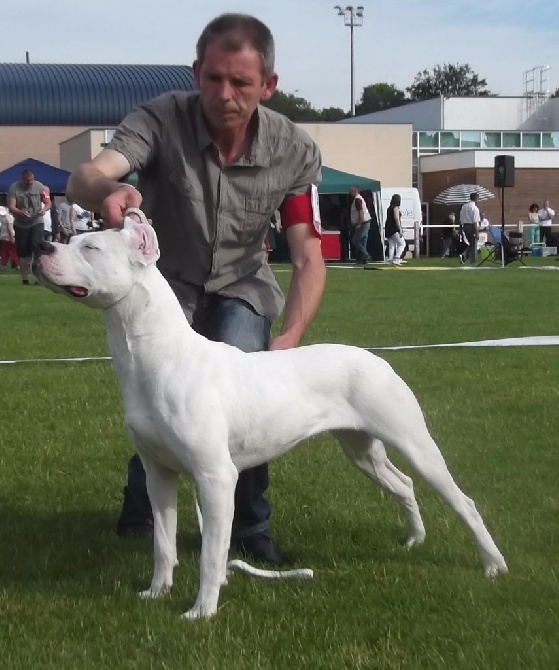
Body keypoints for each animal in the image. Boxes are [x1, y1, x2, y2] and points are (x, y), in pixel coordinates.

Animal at [34, 218, 508, 624]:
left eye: (91, 248)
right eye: (72, 239)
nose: (41, 246)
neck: (152, 355)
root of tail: (375, 359)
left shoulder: (215, 477)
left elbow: (211, 555)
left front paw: (202, 611)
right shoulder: (159, 474)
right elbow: (163, 545)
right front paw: (156, 592)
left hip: (413, 442)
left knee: (462, 502)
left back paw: (493, 564)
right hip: (361, 450)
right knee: (403, 484)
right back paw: (414, 539)